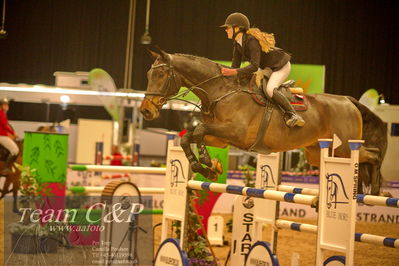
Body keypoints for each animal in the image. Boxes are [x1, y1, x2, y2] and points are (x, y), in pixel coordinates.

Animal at [140, 48, 388, 196]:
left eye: (161, 76)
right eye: (148, 75)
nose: (145, 111)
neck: (220, 91)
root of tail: (348, 100)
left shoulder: (235, 132)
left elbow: (198, 130)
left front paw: (208, 164)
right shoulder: (220, 138)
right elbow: (189, 138)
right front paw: (207, 168)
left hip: (344, 149)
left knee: (373, 156)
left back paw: (375, 192)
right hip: (317, 153)